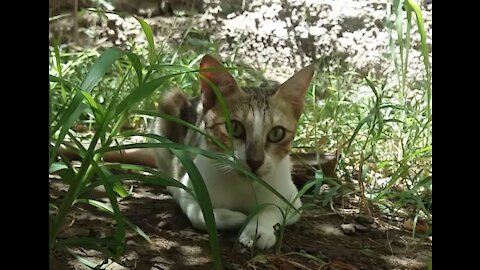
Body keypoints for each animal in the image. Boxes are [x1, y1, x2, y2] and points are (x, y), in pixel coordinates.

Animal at [150, 54, 316, 249]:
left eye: (277, 133)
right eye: (234, 128)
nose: (255, 161)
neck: (243, 187)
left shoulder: (292, 200)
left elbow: (272, 208)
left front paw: (257, 230)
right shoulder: (186, 189)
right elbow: (200, 214)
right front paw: (237, 218)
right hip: (169, 104)